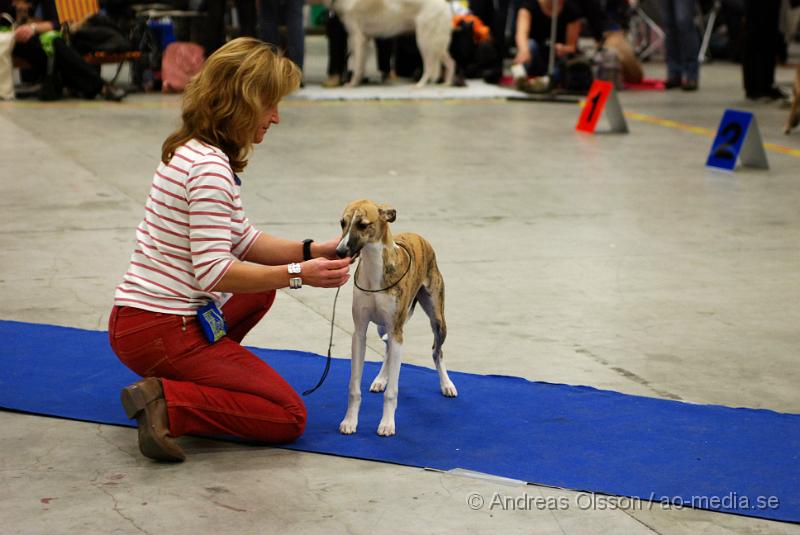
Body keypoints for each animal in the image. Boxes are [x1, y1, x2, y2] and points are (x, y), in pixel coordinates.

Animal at [334, 199, 456, 438]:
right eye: (342, 222)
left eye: (363, 224)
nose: (340, 251)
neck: (374, 270)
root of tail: (418, 236)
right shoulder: (359, 332)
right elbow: (354, 387)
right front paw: (350, 421)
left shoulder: (398, 332)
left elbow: (392, 392)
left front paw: (387, 424)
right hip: (384, 328)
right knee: (388, 350)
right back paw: (381, 379)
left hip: (436, 320)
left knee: (437, 351)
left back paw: (446, 384)